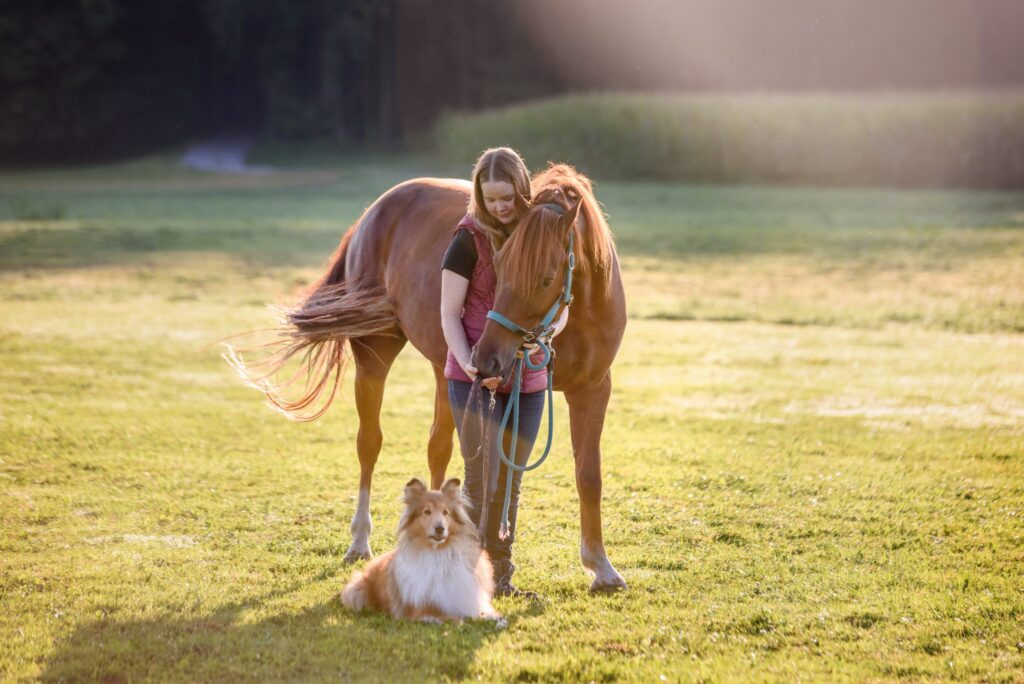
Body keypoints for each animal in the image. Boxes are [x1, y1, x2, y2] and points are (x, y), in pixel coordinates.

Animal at [225, 164, 628, 592]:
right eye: (499, 267)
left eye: (547, 278)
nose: (487, 358)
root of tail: (373, 213)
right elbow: (490, 479)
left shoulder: (593, 389)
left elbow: (588, 476)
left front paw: (601, 567)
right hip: (375, 359)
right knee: (369, 443)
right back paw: (360, 540)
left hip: (442, 370)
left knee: (439, 449)